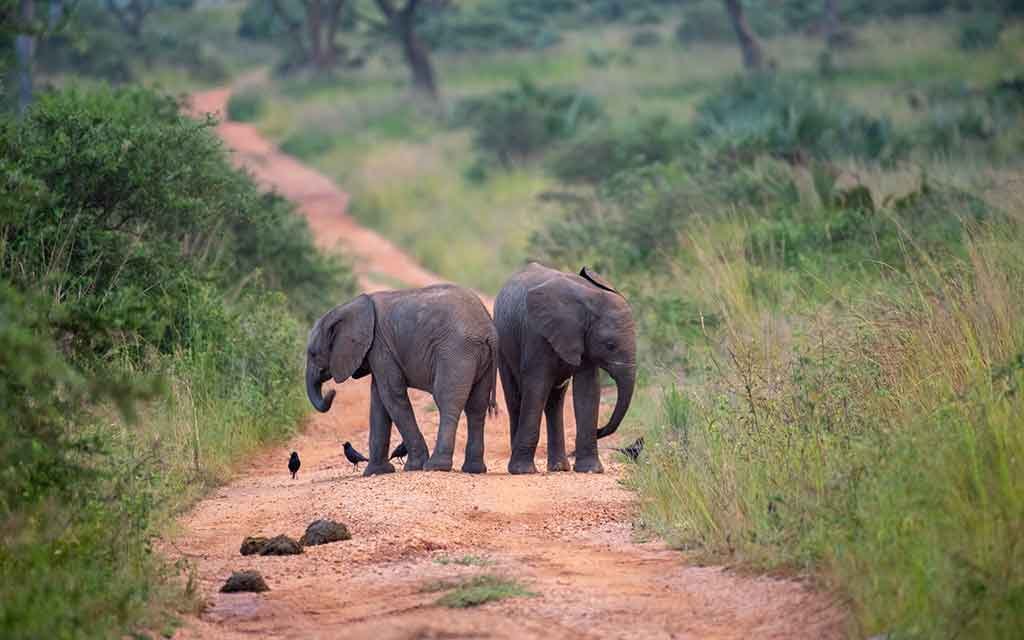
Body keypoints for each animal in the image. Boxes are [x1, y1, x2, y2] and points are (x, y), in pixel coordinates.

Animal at [301, 284, 497, 475]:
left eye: (313, 354)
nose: (331, 392)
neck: (346, 308)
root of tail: (489, 330)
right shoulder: (377, 350)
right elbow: (379, 400)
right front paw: (377, 472)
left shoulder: (380, 346)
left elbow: (391, 395)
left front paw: (412, 467)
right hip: (480, 358)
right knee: (476, 407)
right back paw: (474, 469)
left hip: (456, 352)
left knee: (447, 401)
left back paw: (435, 466)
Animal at [493, 261, 634, 475]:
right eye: (610, 345)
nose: (599, 430)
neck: (589, 299)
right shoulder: (537, 334)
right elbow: (536, 387)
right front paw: (523, 471)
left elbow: (588, 390)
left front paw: (591, 470)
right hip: (503, 345)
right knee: (516, 398)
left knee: (555, 401)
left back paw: (559, 468)